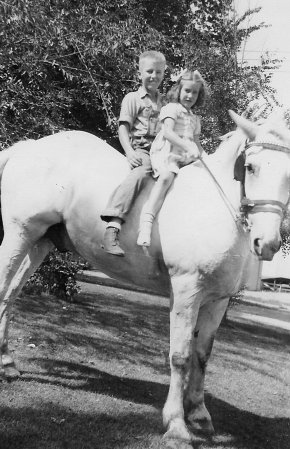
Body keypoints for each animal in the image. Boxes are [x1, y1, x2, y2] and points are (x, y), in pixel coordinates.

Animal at [0, 111, 290, 444]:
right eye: (251, 167)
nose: (267, 243)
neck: (213, 205)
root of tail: (28, 148)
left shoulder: (217, 301)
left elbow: (202, 355)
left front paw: (199, 415)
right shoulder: (187, 290)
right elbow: (180, 356)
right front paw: (176, 424)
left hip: (40, 242)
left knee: (10, 296)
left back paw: (7, 363)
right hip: (20, 234)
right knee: (3, 290)